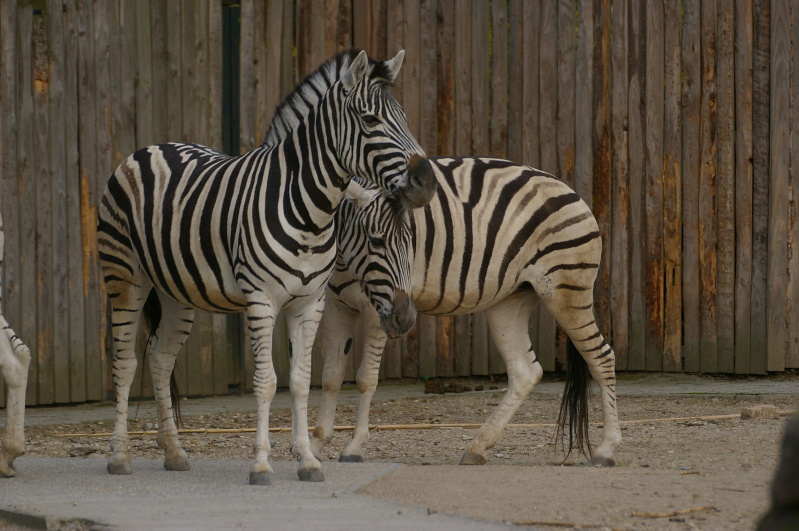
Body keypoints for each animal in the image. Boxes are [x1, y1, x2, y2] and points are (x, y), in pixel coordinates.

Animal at [100, 50, 438, 486]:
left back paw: (174, 452)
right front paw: (261, 464)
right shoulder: (261, 300)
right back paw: (119, 455)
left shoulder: (309, 302)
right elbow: (265, 383)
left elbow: (299, 381)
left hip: (177, 292)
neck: (310, 209)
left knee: (160, 359)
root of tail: (149, 148)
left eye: (405, 119)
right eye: (370, 120)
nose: (427, 180)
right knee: (125, 363)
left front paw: (308, 460)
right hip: (125, 276)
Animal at [310, 159, 620, 470]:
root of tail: (569, 190)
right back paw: (477, 447)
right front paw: (316, 445)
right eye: (376, 241)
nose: (406, 319)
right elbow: (331, 376)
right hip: (509, 302)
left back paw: (606, 450)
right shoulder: (338, 304)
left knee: (601, 358)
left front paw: (354, 446)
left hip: (567, 289)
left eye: (411, 241)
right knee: (526, 371)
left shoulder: (377, 309)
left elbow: (366, 378)